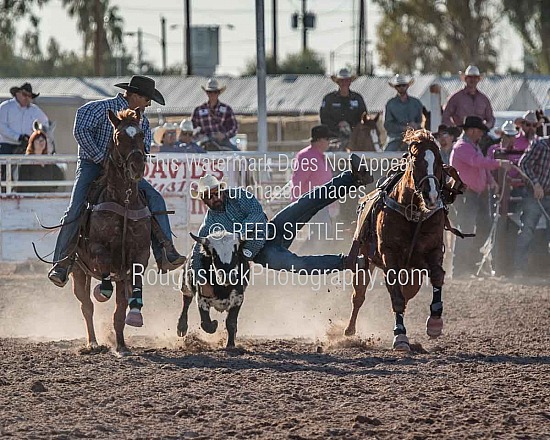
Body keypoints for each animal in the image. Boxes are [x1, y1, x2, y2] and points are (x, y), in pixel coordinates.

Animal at [73, 108, 153, 356]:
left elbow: (126, 301)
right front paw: (102, 290)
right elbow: (104, 262)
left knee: (118, 308)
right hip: (77, 271)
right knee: (86, 306)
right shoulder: (98, 248)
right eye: (119, 137)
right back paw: (92, 343)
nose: (137, 167)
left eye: (140, 135)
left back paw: (120, 343)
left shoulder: (140, 253)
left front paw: (132, 321)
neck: (123, 202)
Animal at [348, 128, 450, 350]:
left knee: (408, 293)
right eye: (416, 160)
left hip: (413, 274)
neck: (414, 213)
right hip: (363, 262)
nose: (431, 196)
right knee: (359, 296)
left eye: (439, 160)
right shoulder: (390, 256)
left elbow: (438, 276)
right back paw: (349, 330)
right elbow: (395, 296)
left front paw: (435, 322)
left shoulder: (434, 249)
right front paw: (400, 335)